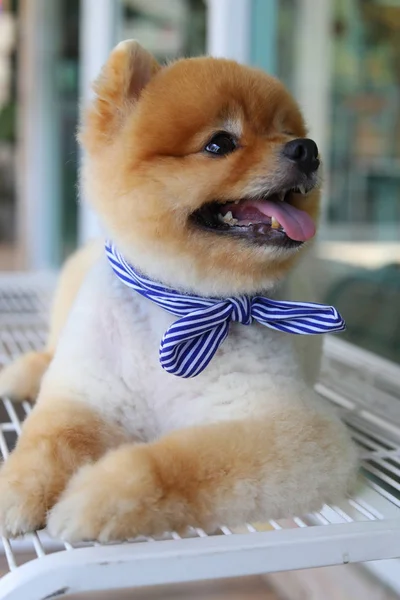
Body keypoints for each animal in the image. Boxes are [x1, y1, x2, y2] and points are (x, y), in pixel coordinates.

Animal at [0, 39, 356, 540]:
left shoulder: (296, 428)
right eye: (220, 143)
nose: (307, 149)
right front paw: (17, 486)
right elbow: (49, 442)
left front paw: (96, 497)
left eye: (286, 131)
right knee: (53, 351)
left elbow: (171, 464)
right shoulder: (88, 395)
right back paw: (25, 371)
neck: (183, 305)